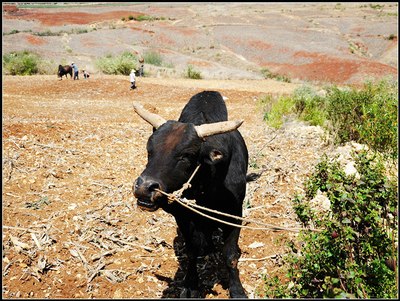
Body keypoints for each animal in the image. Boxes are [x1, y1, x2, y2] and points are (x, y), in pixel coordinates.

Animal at [133, 90, 248, 296]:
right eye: (149, 151)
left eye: (186, 155)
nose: (144, 188)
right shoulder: (182, 216)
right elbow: (192, 250)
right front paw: (191, 284)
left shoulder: (234, 214)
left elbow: (230, 255)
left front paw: (237, 290)